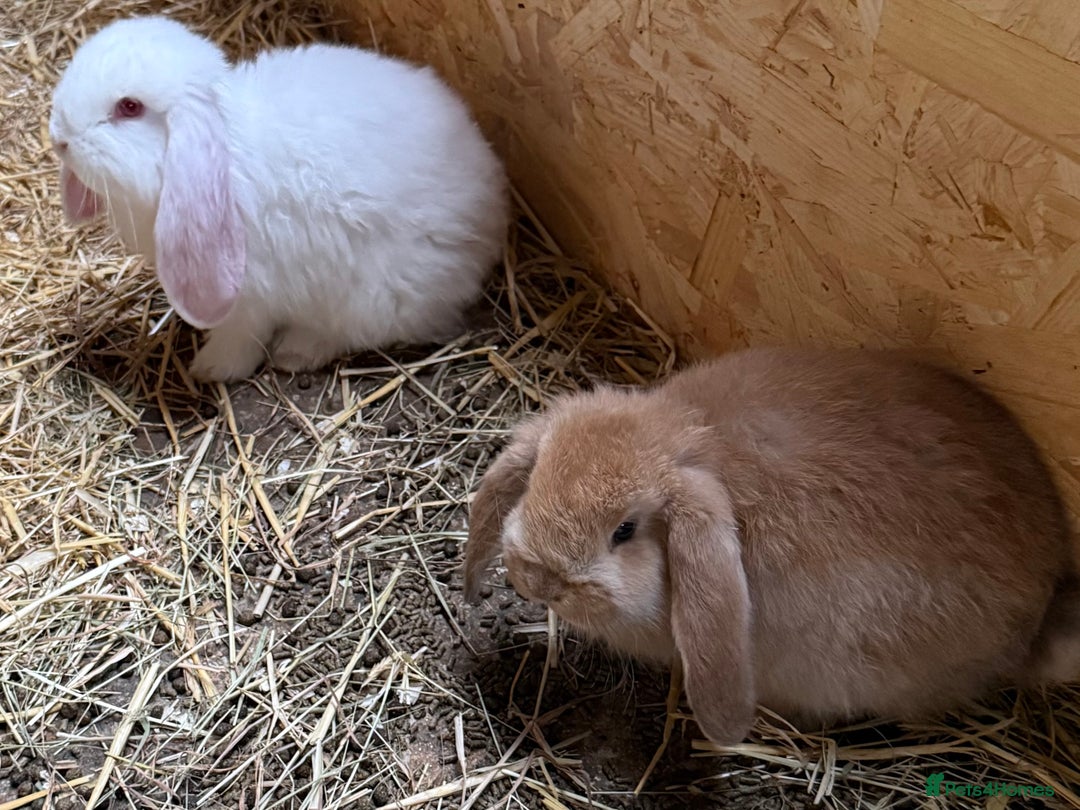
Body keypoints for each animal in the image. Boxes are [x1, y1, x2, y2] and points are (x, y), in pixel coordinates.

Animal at [49, 15, 509, 381]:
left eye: (129, 107)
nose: (60, 141)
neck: (225, 147)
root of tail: (495, 215)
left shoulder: (249, 294)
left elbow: (239, 336)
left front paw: (210, 370)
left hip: (378, 296)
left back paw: (295, 353)